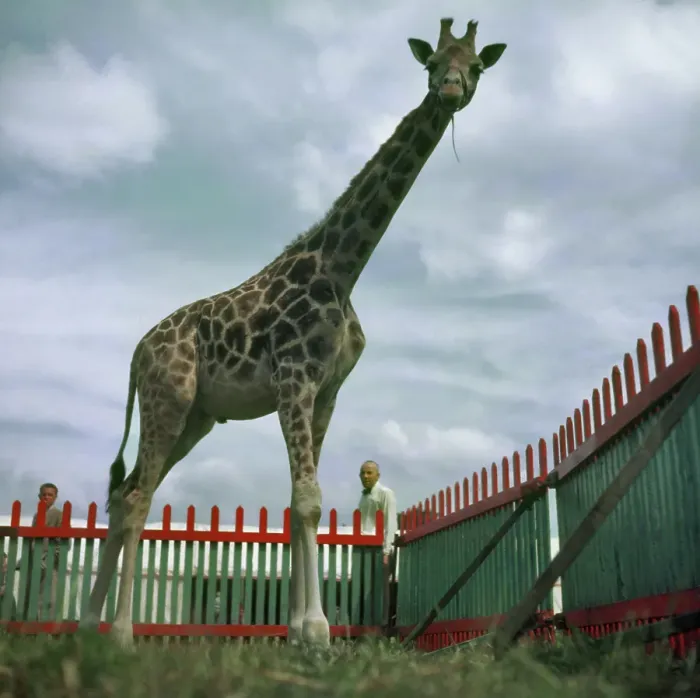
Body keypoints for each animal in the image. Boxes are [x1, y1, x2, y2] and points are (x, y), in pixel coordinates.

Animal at [79, 17, 506, 648]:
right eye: (432, 64)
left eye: (474, 66)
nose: (451, 89)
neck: (343, 266)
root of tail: (136, 352)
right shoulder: (293, 379)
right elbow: (307, 500)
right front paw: (318, 630)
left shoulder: (325, 391)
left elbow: (298, 502)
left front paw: (299, 630)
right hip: (167, 399)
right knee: (134, 499)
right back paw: (120, 634)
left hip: (195, 417)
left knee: (125, 493)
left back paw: (85, 624)